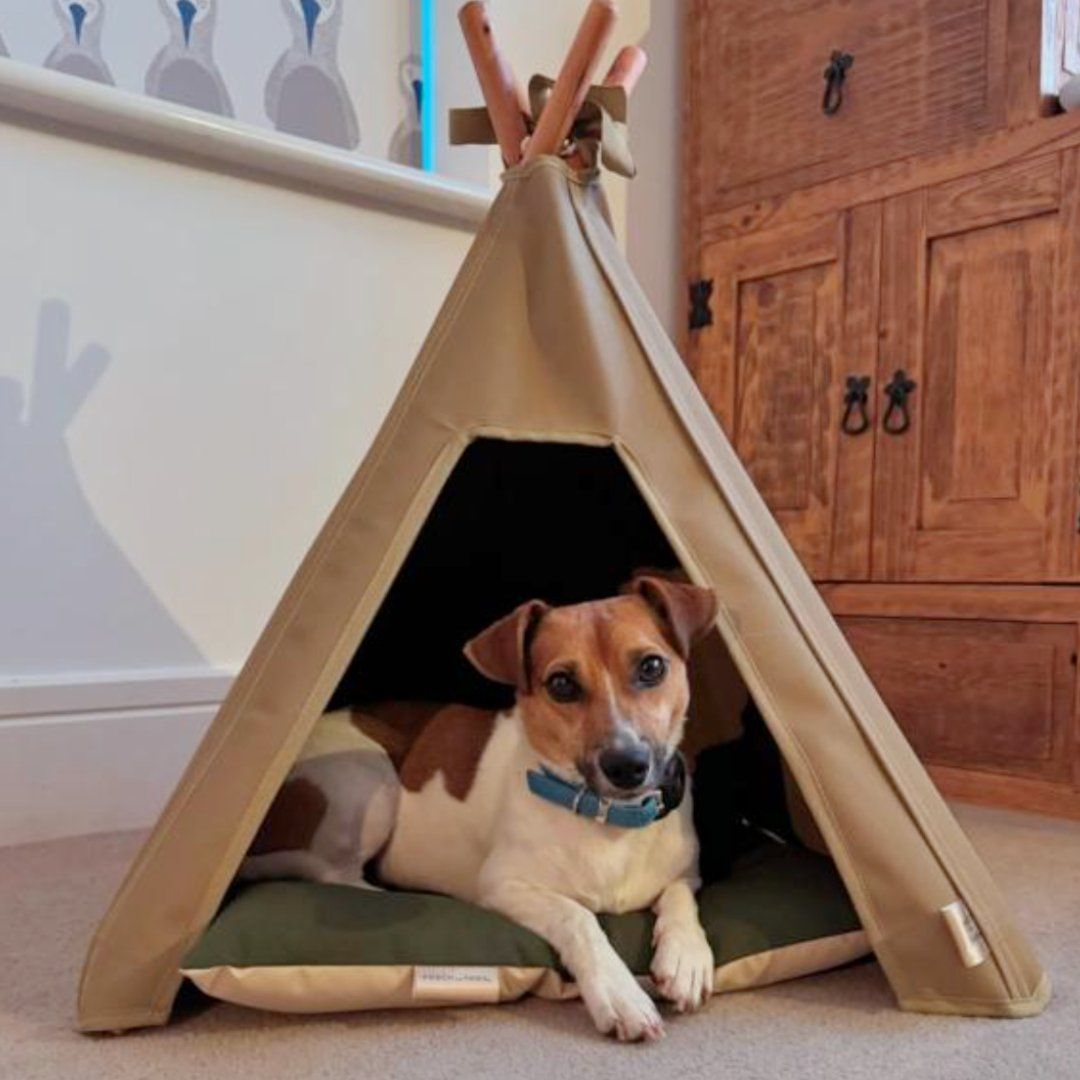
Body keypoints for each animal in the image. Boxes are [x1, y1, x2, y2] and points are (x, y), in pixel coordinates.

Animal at [244, 578, 717, 1041]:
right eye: (561, 684)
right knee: (335, 875)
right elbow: (578, 916)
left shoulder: (686, 874)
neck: (610, 818)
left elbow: (679, 898)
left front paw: (687, 956)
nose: (627, 765)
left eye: (651, 667)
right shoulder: (505, 885)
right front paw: (619, 992)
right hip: (369, 776)